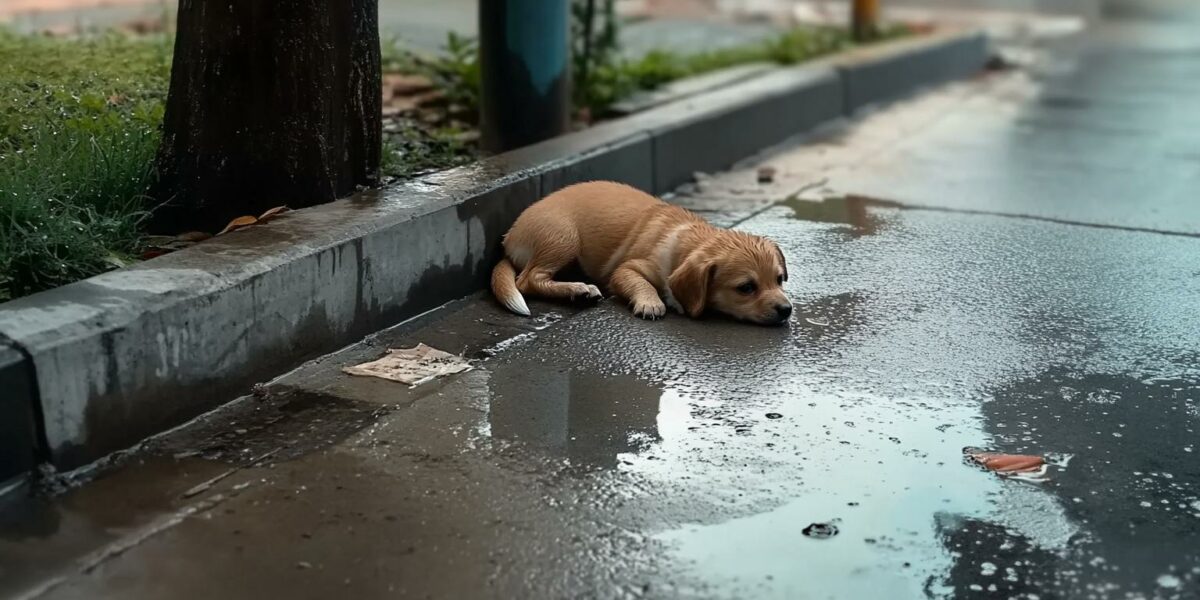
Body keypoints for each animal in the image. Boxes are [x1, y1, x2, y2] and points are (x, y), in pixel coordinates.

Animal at [492, 180, 792, 326]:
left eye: (779, 280)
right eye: (746, 288)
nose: (787, 310)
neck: (688, 238)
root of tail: (510, 238)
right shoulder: (627, 269)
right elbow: (641, 282)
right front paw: (650, 302)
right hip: (562, 237)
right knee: (528, 280)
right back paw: (578, 289)